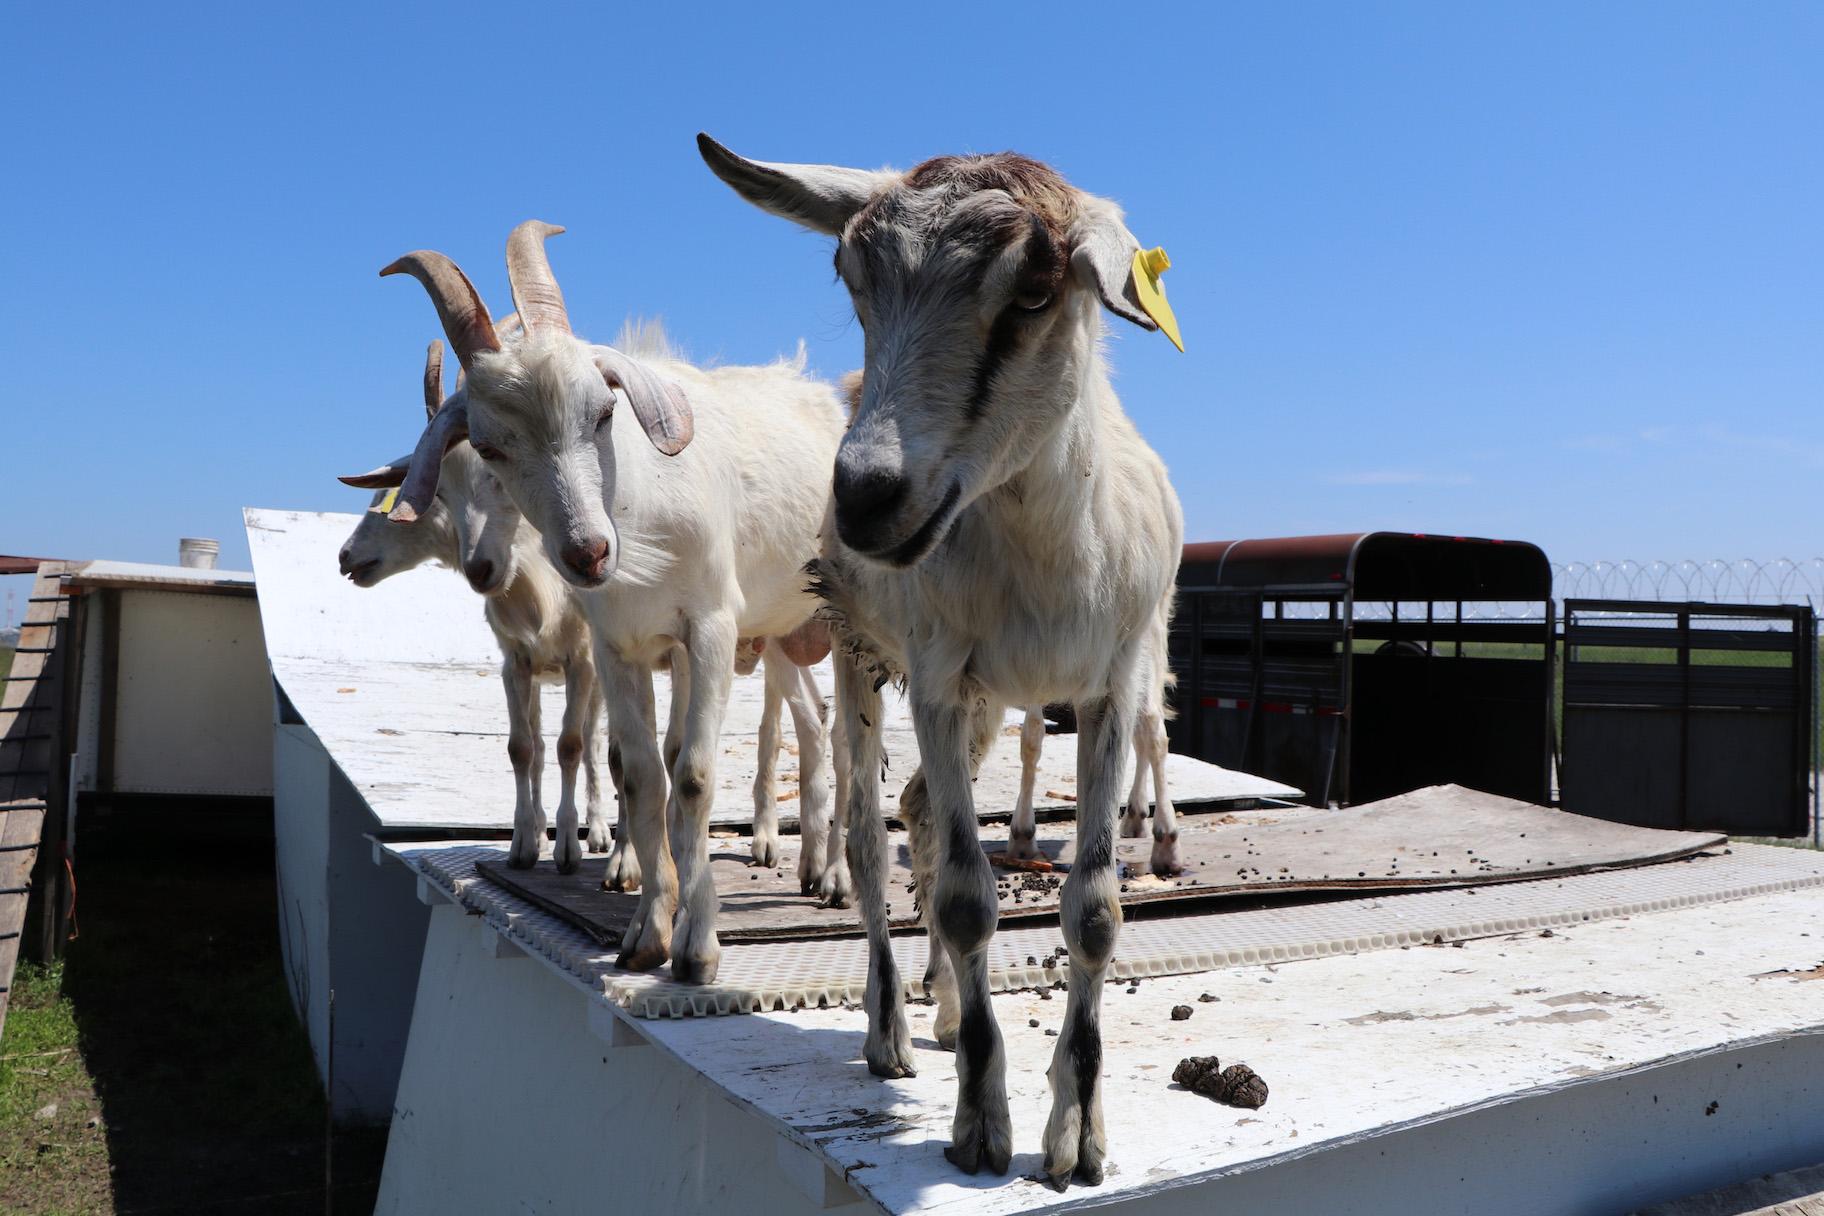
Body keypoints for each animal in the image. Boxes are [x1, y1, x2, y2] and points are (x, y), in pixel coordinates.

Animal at [372, 221, 853, 977]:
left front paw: (697, 947)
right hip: (780, 633)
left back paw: (836, 878)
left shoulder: (708, 629)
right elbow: (643, 777)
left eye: (603, 412)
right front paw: (648, 929)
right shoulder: (616, 648)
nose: (589, 552)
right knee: (810, 726)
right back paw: (808, 867)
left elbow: (693, 774)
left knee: (852, 747)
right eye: (489, 447)